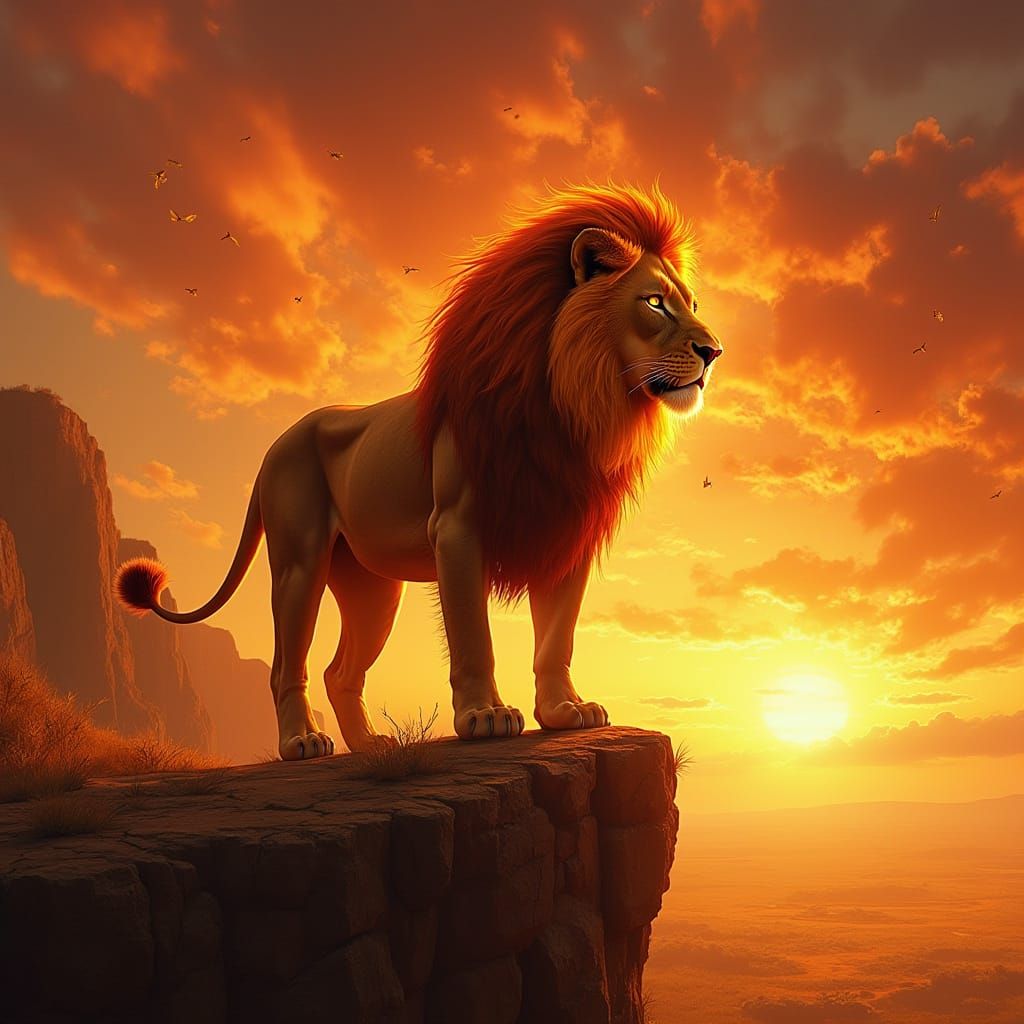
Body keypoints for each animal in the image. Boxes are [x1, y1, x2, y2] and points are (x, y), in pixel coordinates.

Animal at [115, 182, 723, 761]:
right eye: (655, 303)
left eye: (692, 303)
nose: (714, 351)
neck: (574, 403)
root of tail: (274, 444)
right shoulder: (456, 528)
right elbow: (474, 636)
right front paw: (484, 716)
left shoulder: (563, 531)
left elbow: (557, 638)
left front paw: (563, 711)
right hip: (299, 564)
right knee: (287, 665)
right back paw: (301, 743)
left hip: (371, 589)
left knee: (341, 672)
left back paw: (369, 746)